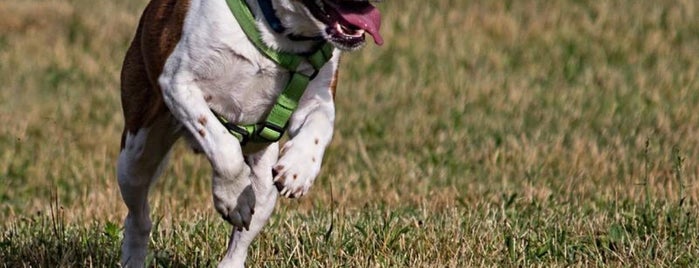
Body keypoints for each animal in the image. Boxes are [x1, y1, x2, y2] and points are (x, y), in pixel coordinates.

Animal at [118, 0, 386, 266]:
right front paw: (232, 195)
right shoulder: (178, 84)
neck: (279, 33)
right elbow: (225, 148)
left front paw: (298, 170)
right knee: (138, 217)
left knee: (239, 243)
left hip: (265, 189)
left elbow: (319, 123)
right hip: (135, 157)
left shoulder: (319, 95)